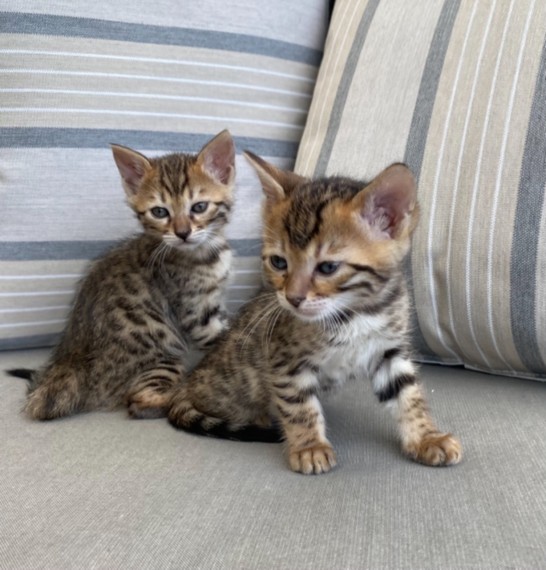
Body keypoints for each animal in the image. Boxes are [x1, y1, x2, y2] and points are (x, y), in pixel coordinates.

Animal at [8, 130, 234, 422]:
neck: (204, 251)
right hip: (163, 352)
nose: (183, 233)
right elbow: (223, 338)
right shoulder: (196, 313)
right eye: (160, 212)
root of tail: (70, 361)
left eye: (199, 207)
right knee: (139, 402)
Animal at [168, 153, 462, 472]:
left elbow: (408, 395)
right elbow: (298, 404)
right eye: (279, 262)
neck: (355, 314)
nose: (293, 299)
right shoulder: (285, 361)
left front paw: (426, 437)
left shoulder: (390, 350)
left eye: (328, 267)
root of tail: (187, 384)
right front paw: (309, 446)